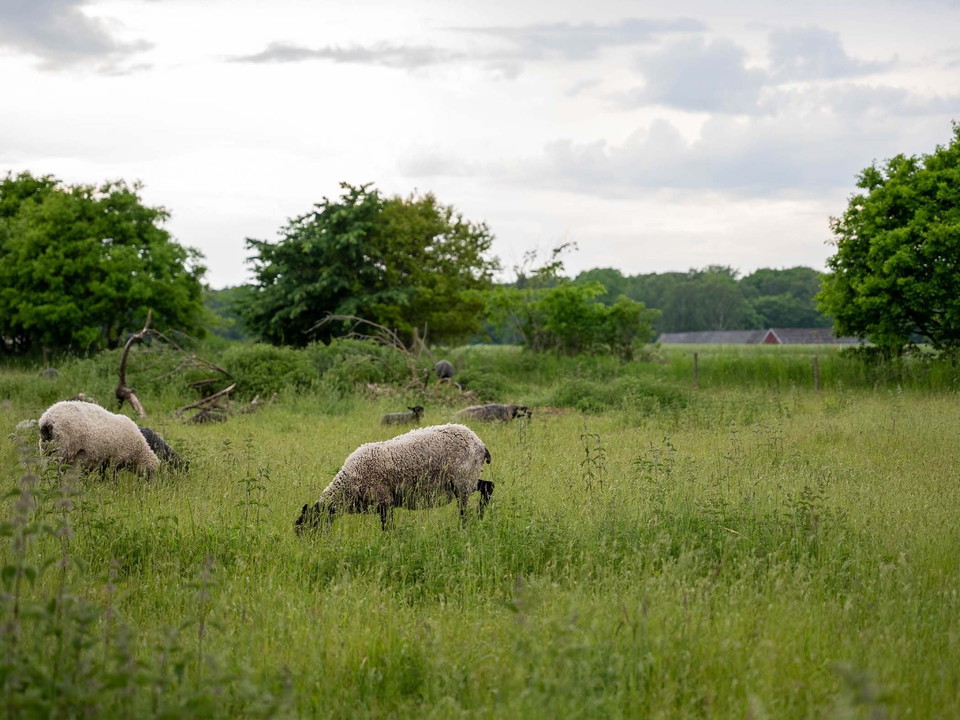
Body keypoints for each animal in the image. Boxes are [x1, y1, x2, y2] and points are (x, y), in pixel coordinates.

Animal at [296, 423, 493, 533]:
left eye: (308, 528)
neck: (348, 486)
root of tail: (480, 442)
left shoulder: (384, 501)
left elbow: (387, 529)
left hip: (462, 480)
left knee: (465, 508)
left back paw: (465, 525)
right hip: (469, 478)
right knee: (488, 486)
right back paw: (480, 516)